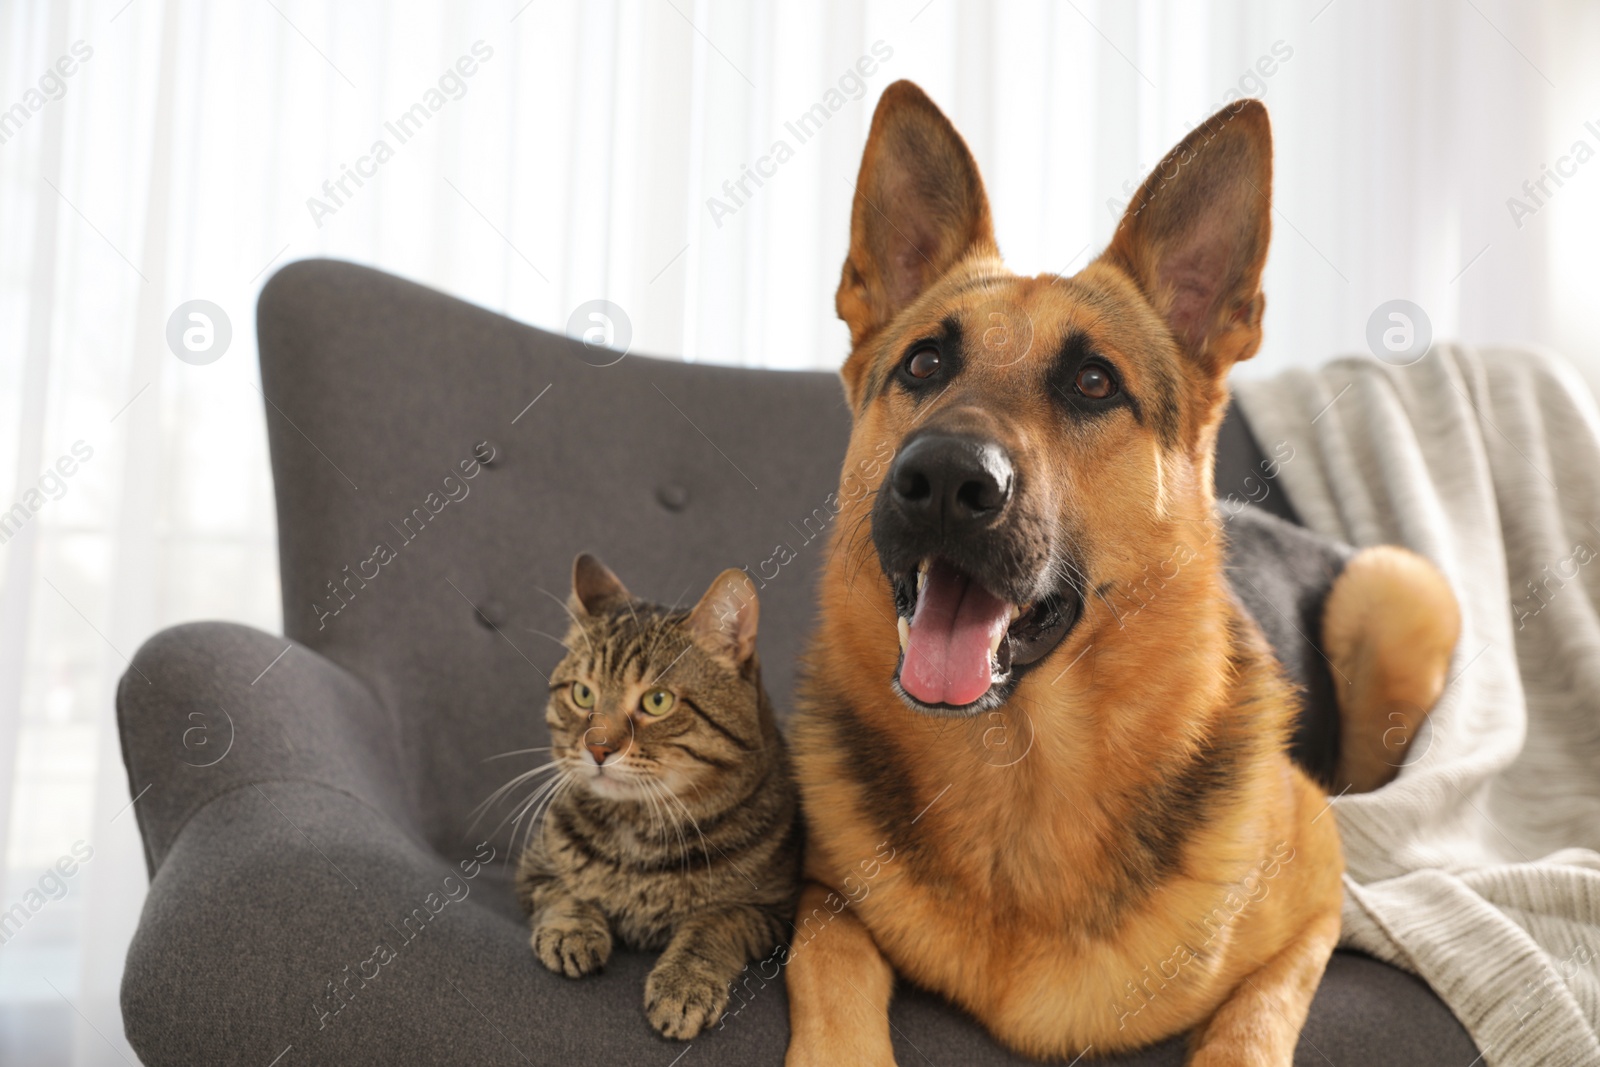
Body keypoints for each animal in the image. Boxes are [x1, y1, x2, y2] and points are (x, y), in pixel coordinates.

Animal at [515, 556, 800, 1036]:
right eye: (582, 693)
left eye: (658, 701)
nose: (597, 748)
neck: (637, 833)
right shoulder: (533, 869)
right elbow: (564, 894)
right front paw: (573, 930)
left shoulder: (773, 910)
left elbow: (714, 922)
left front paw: (683, 983)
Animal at [787, 79, 1465, 1062]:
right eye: (924, 362)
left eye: (1095, 383)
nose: (945, 480)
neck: (1022, 773)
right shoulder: (822, 891)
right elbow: (831, 959)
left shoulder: (1315, 902)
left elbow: (1250, 1023)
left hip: (1399, 591)